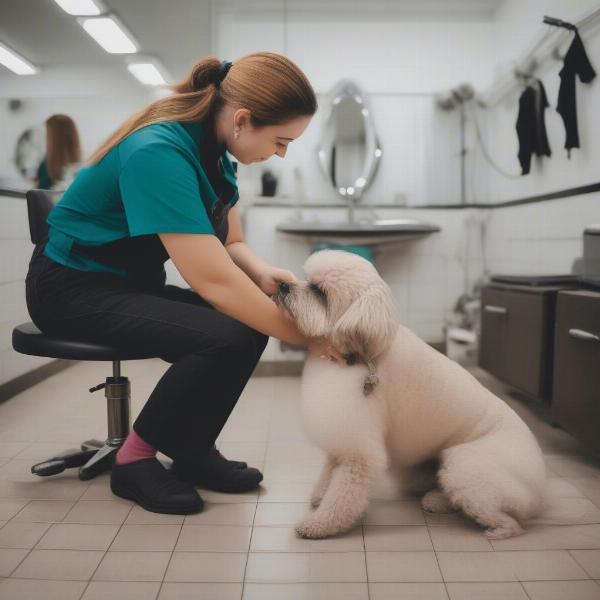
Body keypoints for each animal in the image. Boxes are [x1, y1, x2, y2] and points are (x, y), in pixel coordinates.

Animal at [274, 248, 548, 540]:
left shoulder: (359, 449)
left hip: (465, 467)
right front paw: (319, 495)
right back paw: (437, 500)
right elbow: (329, 469)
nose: (283, 285)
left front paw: (319, 524)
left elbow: (343, 495)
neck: (363, 354)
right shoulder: (342, 434)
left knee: (509, 519)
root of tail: (539, 490)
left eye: (320, 292)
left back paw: (496, 530)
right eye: (306, 279)